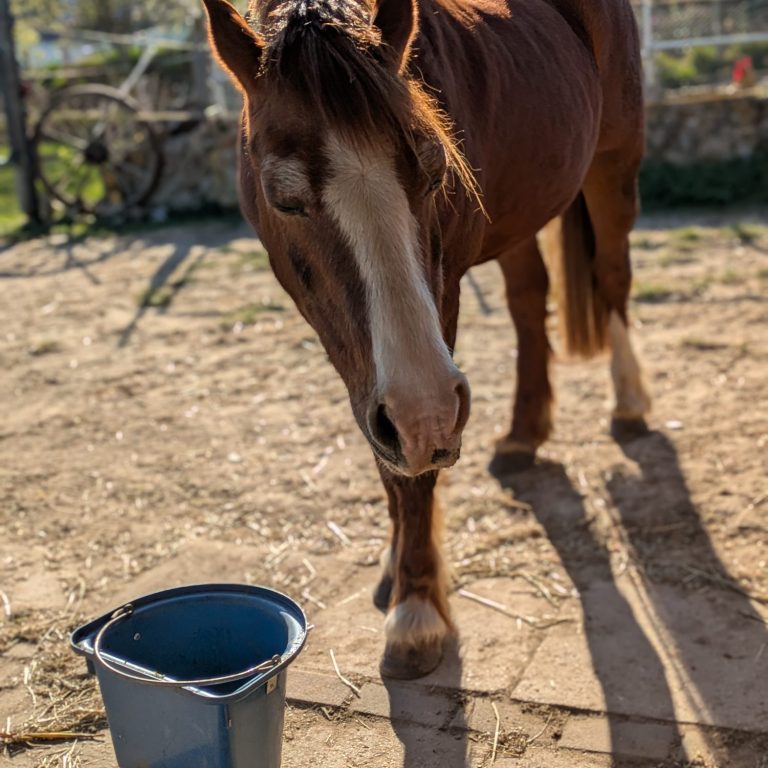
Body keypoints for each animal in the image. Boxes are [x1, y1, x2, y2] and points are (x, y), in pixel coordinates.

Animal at [202, 0, 651, 679]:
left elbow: (415, 466)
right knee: (528, 302)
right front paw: (396, 568)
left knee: (613, 276)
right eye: (285, 200)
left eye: (436, 170)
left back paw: (630, 404)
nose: (427, 414)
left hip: (612, 166)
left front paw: (416, 611)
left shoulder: (439, 311)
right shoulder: (348, 347)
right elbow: (385, 452)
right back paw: (523, 434)